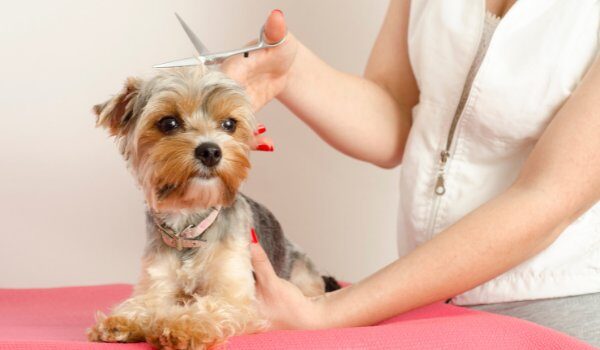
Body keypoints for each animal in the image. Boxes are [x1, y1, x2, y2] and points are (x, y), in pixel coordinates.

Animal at [86, 66, 340, 350]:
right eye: (168, 123)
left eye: (229, 124)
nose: (210, 151)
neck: (189, 227)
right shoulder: (158, 283)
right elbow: (149, 302)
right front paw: (126, 320)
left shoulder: (235, 294)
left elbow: (209, 308)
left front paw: (180, 327)